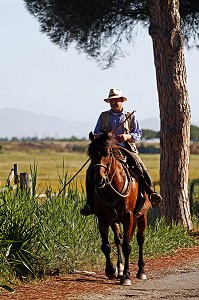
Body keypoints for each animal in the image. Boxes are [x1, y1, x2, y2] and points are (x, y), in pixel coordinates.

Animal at [87, 131, 151, 286]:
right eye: (91, 154)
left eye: (107, 153)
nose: (99, 180)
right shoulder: (103, 219)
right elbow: (106, 245)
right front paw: (111, 270)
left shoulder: (129, 217)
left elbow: (128, 246)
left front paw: (126, 276)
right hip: (115, 221)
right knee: (118, 239)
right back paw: (120, 268)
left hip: (141, 216)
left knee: (140, 239)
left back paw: (141, 271)